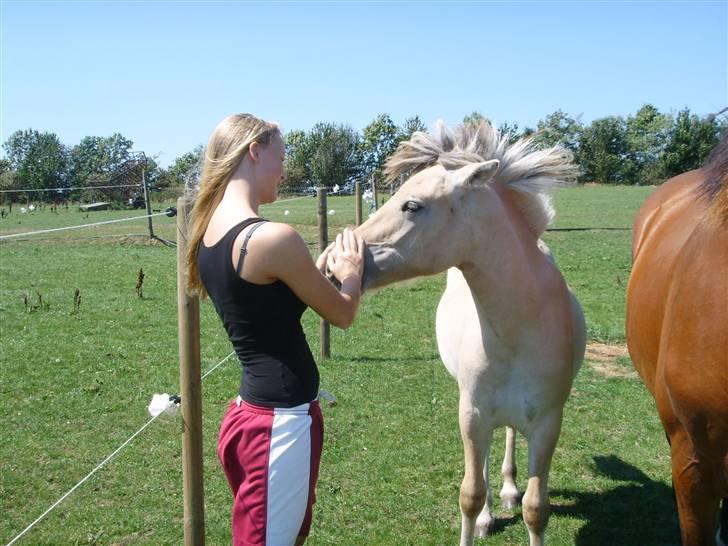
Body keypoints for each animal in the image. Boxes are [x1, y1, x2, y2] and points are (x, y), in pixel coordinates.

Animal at [356, 122, 588, 544]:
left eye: (412, 205)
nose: (332, 261)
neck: (518, 331)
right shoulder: (472, 415)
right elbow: (470, 493)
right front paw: (480, 516)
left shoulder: (548, 424)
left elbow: (536, 509)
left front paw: (517, 499)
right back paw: (489, 514)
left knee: (508, 437)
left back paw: (509, 490)